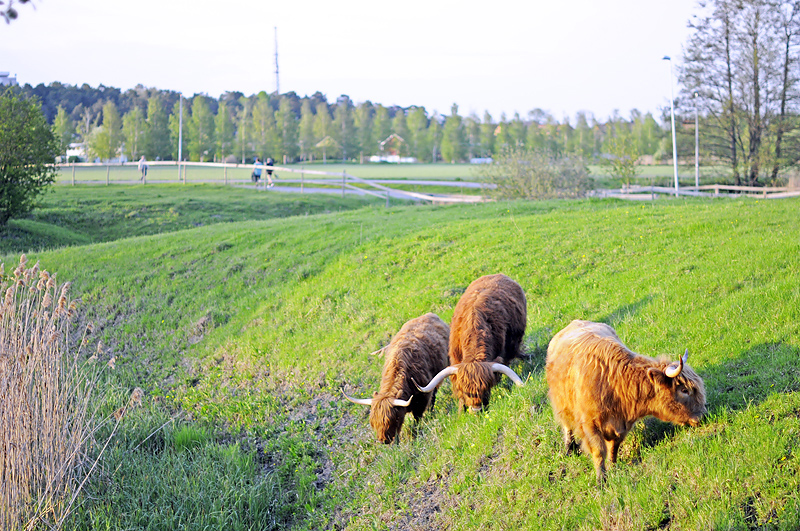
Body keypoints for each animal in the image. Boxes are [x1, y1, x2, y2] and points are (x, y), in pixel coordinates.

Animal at [342, 312, 450, 444]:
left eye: (391, 420)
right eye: (373, 423)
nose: (383, 440)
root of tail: (430, 314)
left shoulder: (422, 398)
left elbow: (417, 418)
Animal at [544, 322, 708, 484]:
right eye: (684, 390)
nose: (703, 415)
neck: (615, 383)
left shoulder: (622, 425)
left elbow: (613, 447)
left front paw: (613, 467)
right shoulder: (590, 424)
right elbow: (598, 450)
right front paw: (601, 479)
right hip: (562, 404)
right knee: (567, 426)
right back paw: (568, 449)